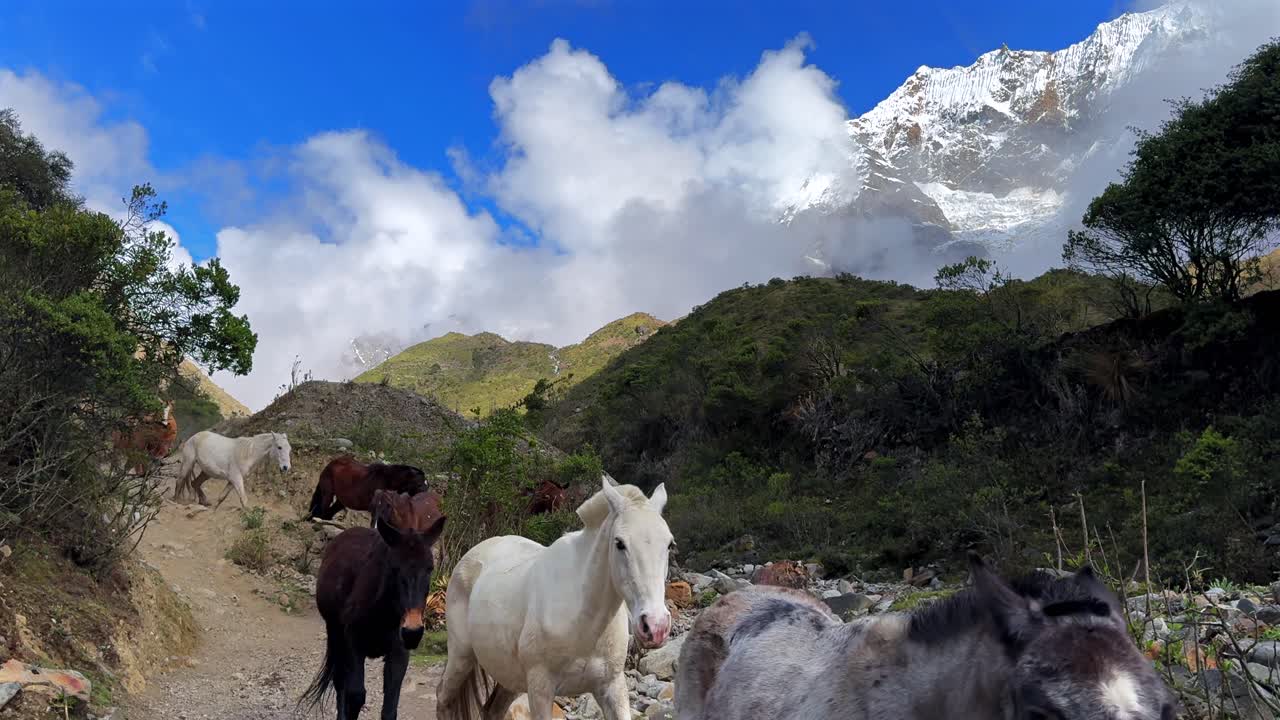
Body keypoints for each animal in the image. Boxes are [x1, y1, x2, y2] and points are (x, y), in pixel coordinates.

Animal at [300, 513, 447, 720]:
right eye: (395, 568)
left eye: (430, 568)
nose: (412, 632)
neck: (383, 612)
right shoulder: (353, 644)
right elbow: (355, 696)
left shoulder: (399, 652)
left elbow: (389, 709)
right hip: (335, 634)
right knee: (340, 683)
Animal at [436, 476, 674, 720]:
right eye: (619, 543)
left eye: (669, 544)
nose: (655, 626)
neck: (582, 619)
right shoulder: (540, 690)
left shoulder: (612, 687)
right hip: (461, 658)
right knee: (443, 699)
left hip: (510, 680)